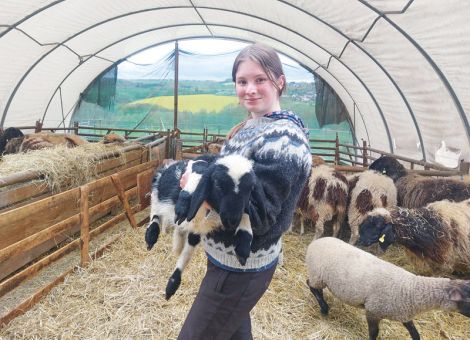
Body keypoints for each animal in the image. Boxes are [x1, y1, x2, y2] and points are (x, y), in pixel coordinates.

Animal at [304, 236, 470, 340]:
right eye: (468, 300)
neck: (410, 289)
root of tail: (316, 241)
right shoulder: (373, 310)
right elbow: (374, 334)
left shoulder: (403, 314)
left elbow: (415, 334)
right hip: (318, 275)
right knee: (310, 285)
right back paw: (324, 308)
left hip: (319, 277)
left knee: (315, 288)